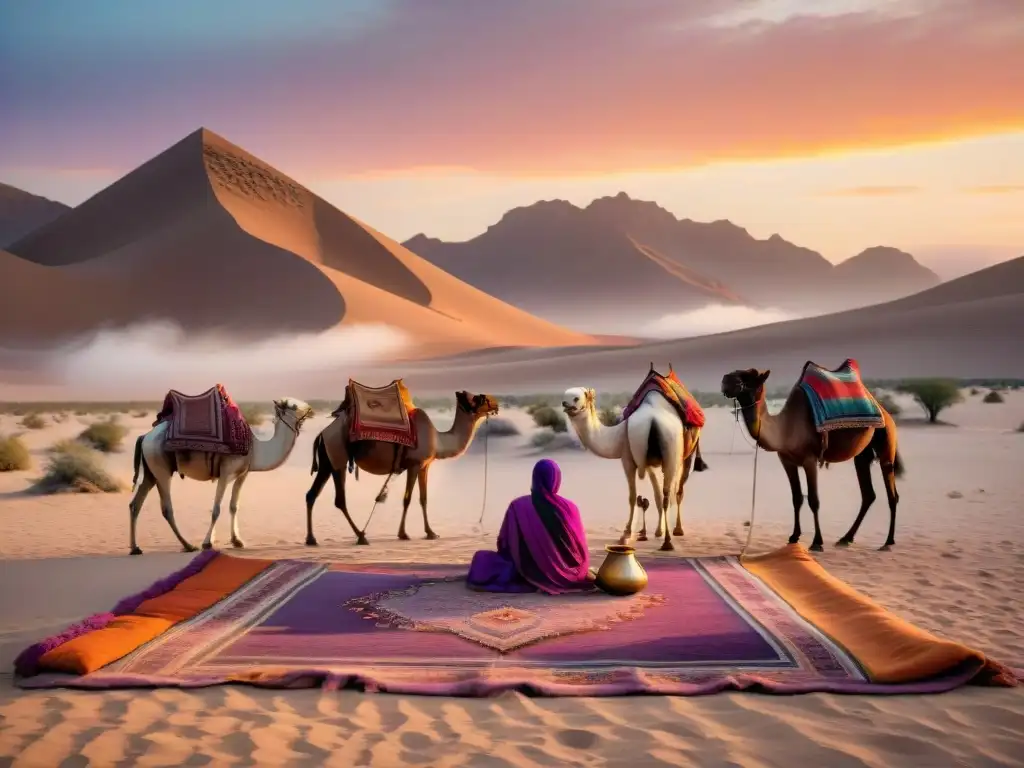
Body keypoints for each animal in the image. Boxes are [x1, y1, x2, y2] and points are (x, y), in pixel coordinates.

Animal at [127, 399, 313, 557]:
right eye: (294, 406)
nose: (310, 410)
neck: (256, 448)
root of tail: (145, 436)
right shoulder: (225, 472)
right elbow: (216, 509)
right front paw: (207, 543)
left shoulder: (242, 474)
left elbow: (233, 506)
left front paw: (237, 541)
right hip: (160, 466)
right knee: (166, 508)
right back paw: (188, 545)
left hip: (151, 472)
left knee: (135, 504)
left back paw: (135, 548)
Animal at [301, 391, 497, 548]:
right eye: (478, 398)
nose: (496, 404)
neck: (439, 440)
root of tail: (321, 435)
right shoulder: (414, 464)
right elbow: (407, 499)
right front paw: (404, 533)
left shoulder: (424, 466)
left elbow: (423, 498)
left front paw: (430, 532)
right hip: (337, 457)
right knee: (339, 500)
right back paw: (361, 536)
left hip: (327, 463)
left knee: (312, 494)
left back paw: (311, 539)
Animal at [561, 387, 704, 548]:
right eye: (564, 396)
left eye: (576, 398)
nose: (565, 404)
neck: (618, 435)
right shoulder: (640, 461)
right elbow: (650, 496)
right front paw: (656, 531)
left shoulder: (627, 458)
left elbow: (634, 497)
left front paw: (626, 533)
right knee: (666, 493)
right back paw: (666, 536)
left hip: (681, 451)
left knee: (677, 490)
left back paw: (675, 533)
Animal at [720, 368, 905, 552]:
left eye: (749, 376)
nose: (725, 380)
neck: (785, 427)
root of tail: (884, 411)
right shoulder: (787, 461)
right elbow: (797, 498)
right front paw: (794, 536)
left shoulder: (810, 460)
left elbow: (813, 499)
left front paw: (817, 542)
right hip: (862, 455)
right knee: (868, 494)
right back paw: (845, 538)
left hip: (886, 439)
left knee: (892, 493)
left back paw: (888, 542)